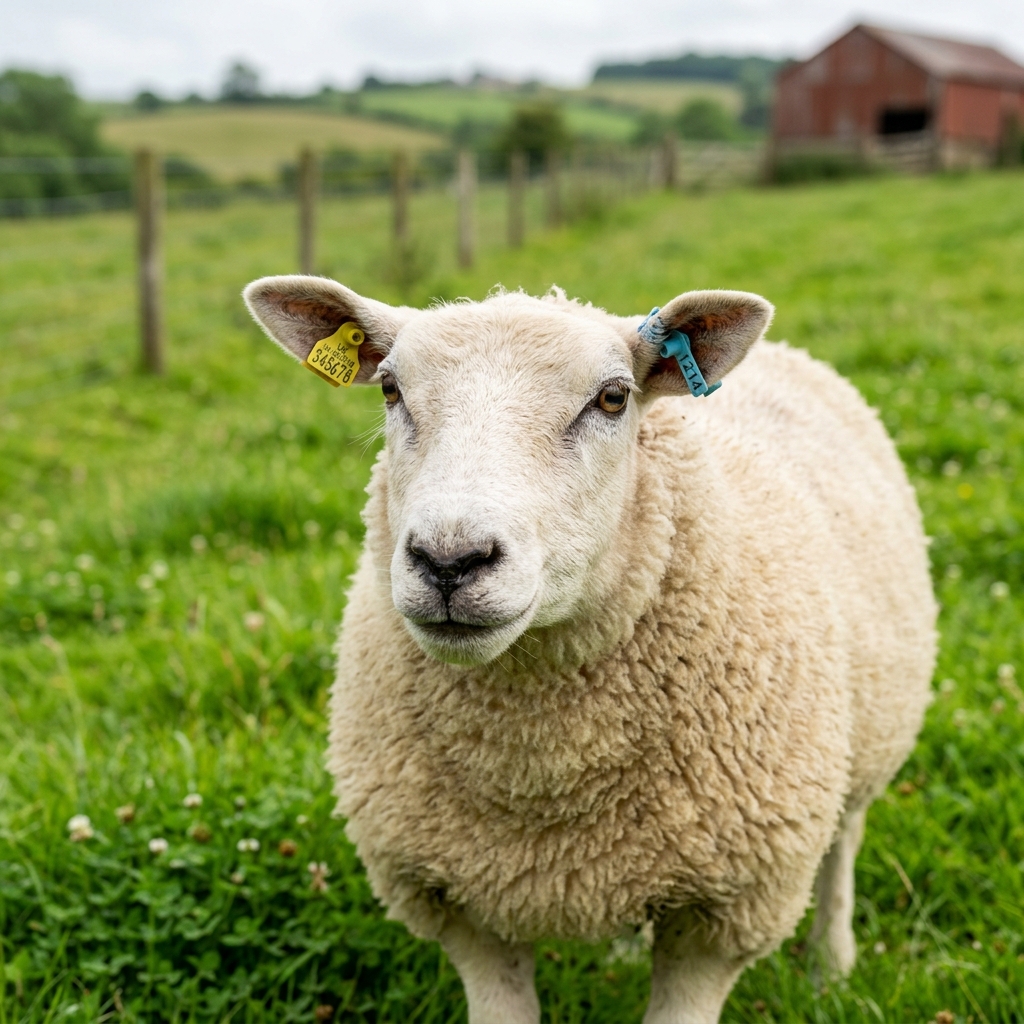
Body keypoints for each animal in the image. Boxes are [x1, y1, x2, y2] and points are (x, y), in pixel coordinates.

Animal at [243, 275, 937, 1024]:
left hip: (865, 738)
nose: (450, 560)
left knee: (844, 841)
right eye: (391, 390)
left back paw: (830, 966)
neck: (543, 773)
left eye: (612, 397)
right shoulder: (459, 901)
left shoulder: (723, 912)